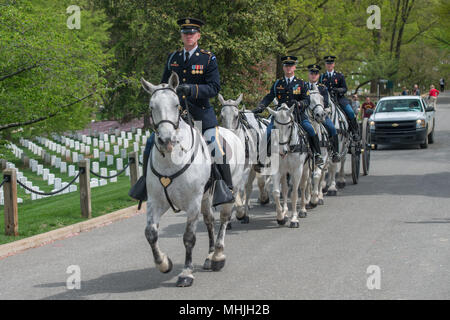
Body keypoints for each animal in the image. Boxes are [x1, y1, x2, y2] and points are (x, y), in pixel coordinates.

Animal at [142, 72, 244, 288]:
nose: (166, 140)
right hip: (205, 198)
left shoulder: (192, 203)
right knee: (209, 220)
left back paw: (218, 256)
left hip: (228, 192)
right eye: (151, 106)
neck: (171, 160)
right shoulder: (156, 201)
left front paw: (186, 273)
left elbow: (189, 237)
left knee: (223, 219)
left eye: (176, 104)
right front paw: (164, 263)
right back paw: (210, 255)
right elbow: (151, 233)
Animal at [219, 93, 268, 222]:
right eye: (221, 116)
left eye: (236, 116)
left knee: (250, 186)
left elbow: (242, 188)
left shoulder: (246, 168)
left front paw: (241, 212)